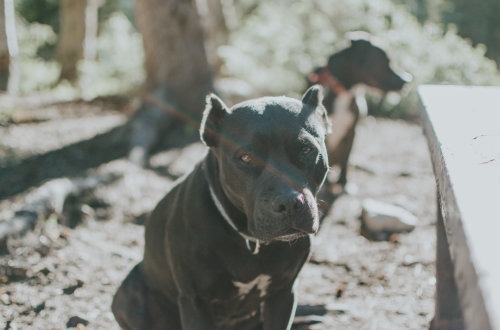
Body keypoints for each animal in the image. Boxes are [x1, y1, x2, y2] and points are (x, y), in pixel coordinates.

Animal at [111, 85, 330, 330]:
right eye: (246, 157)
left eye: (306, 150)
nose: (291, 203)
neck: (249, 240)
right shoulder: (196, 302)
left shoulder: (282, 293)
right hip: (129, 294)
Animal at [308, 32, 410, 192]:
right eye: (386, 61)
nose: (407, 80)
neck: (345, 92)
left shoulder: (353, 131)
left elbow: (347, 157)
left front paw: (344, 182)